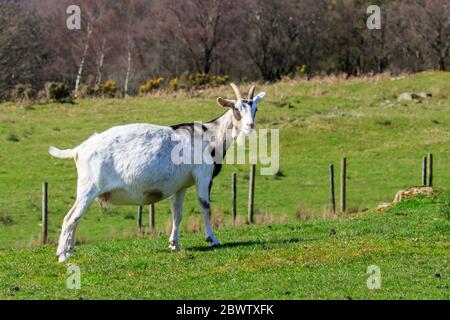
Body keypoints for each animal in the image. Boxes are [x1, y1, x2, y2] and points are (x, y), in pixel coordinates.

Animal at [47, 84, 266, 264]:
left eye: (255, 108)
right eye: (236, 109)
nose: (250, 126)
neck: (209, 135)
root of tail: (79, 149)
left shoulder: (181, 185)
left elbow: (177, 213)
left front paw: (174, 244)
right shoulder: (203, 176)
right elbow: (205, 207)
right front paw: (212, 239)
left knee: (76, 218)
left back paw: (71, 251)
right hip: (89, 188)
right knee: (70, 218)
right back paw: (62, 255)